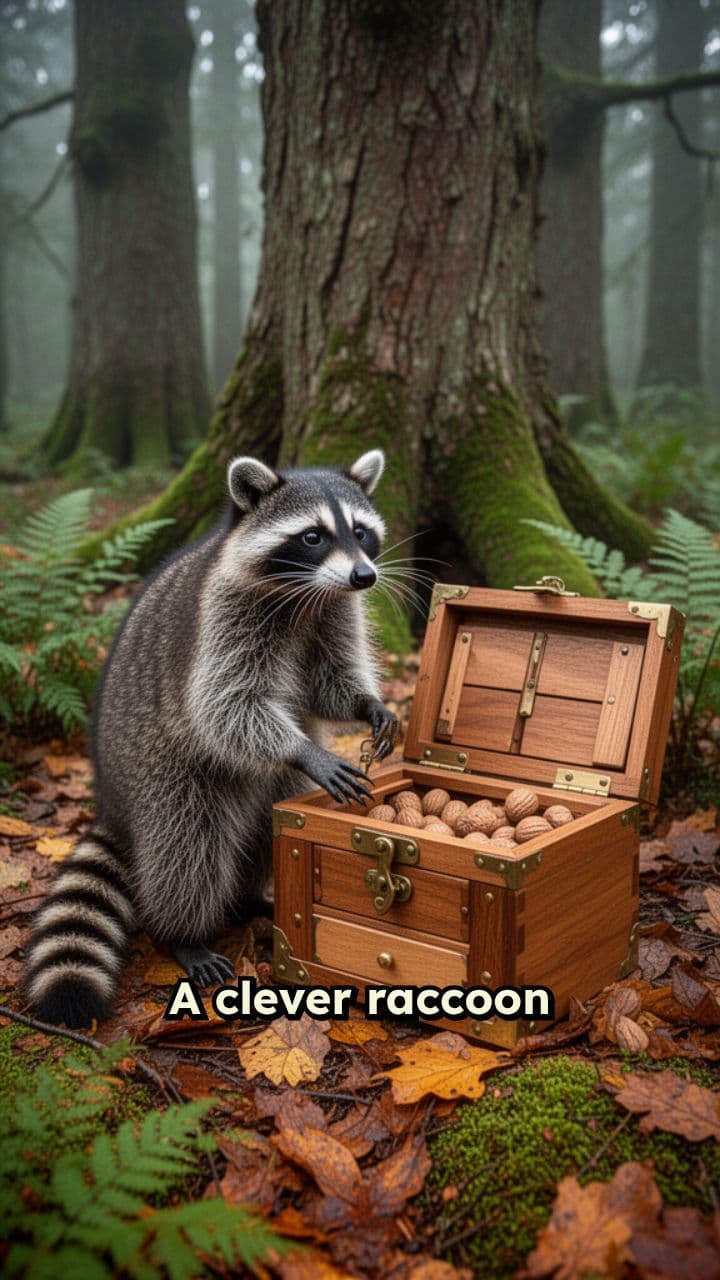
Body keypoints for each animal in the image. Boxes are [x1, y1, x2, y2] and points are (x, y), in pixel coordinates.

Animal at [25, 450, 397, 1028]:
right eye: (313, 536)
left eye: (360, 531)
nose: (364, 576)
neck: (305, 595)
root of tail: (112, 801)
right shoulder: (225, 617)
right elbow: (224, 707)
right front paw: (303, 748)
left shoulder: (332, 611)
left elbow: (328, 684)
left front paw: (367, 704)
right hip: (163, 771)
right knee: (187, 845)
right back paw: (183, 933)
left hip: (258, 791)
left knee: (271, 815)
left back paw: (252, 898)